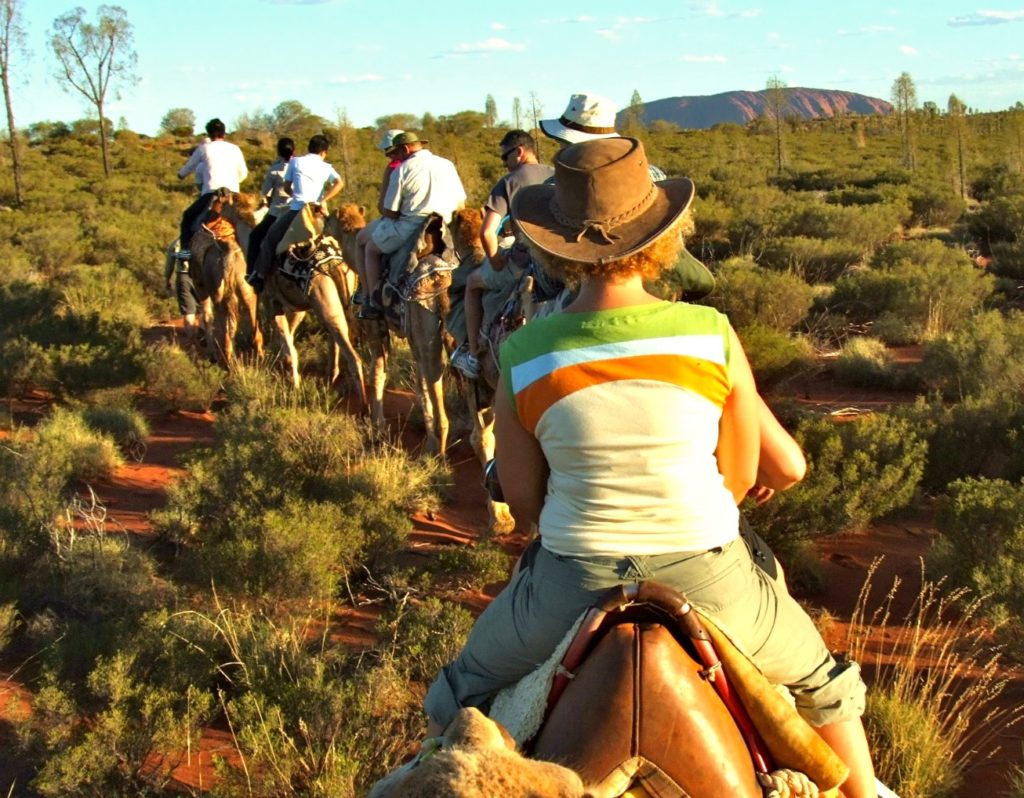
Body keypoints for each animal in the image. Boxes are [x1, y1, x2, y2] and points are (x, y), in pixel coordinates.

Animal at [187, 191, 264, 370]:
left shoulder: (202, 285)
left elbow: (208, 318)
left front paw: (212, 354)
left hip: (222, 293)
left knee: (226, 325)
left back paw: (226, 361)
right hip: (243, 291)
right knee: (251, 329)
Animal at [260, 205, 368, 405]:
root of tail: (332, 264)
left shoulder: (272, 301)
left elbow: (289, 347)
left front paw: (294, 386)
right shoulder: (299, 306)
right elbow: (290, 336)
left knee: (353, 356)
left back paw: (364, 405)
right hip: (332, 302)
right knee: (337, 334)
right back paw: (331, 379)